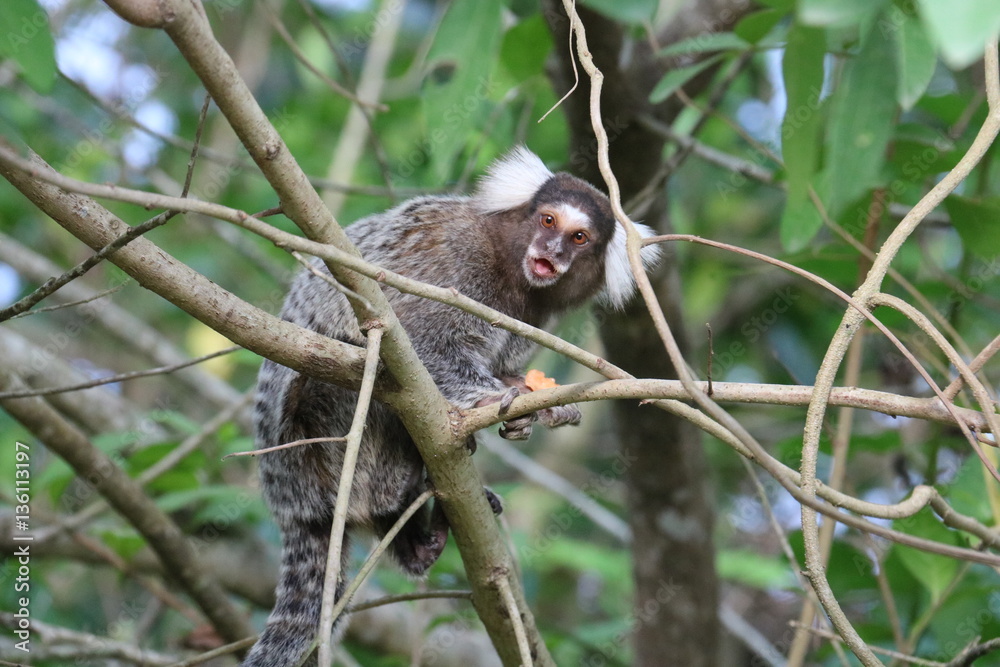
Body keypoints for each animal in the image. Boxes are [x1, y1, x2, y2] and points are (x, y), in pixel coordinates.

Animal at [243, 147, 660, 666]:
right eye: (548, 220)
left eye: (579, 237)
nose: (553, 249)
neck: (510, 268)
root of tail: (292, 506)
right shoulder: (453, 266)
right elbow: (422, 344)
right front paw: (497, 399)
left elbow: (503, 365)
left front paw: (537, 408)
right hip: (317, 434)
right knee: (364, 372)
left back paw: (424, 535)